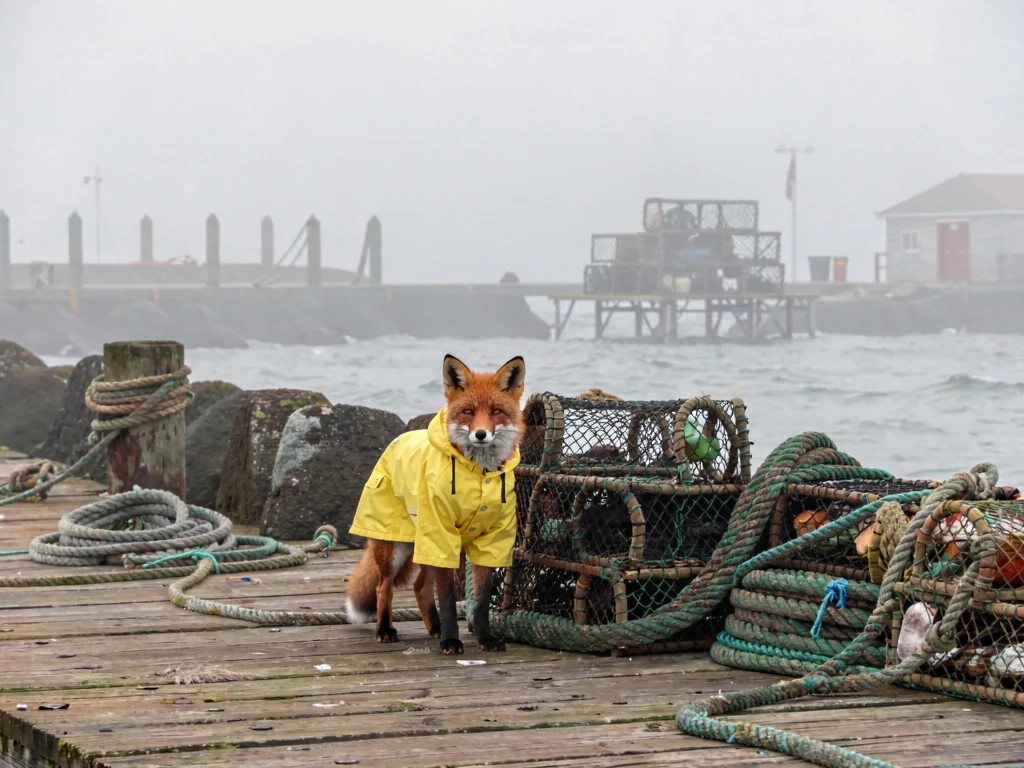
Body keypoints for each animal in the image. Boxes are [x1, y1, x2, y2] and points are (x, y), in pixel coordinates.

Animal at [345, 354, 526, 655]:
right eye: (468, 411)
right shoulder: (443, 535)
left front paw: (485, 638)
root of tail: (398, 438)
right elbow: (449, 599)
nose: (480, 434)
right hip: (397, 548)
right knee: (384, 588)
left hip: (427, 547)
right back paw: (385, 629)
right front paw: (452, 641)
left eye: (496, 411)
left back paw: (435, 628)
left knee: (419, 586)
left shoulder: (490, 542)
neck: (479, 474)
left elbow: (480, 601)